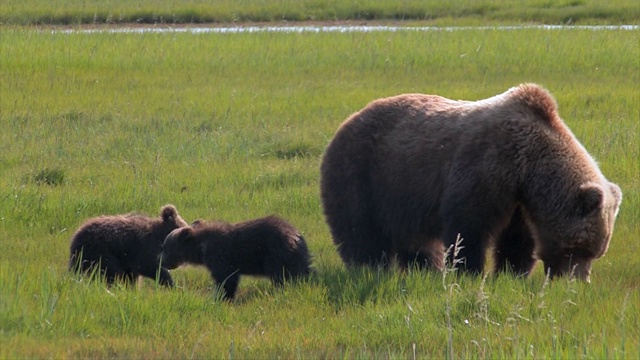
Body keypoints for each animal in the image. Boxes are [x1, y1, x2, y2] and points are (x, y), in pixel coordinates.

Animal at [159, 215, 312, 300]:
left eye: (166, 247)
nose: (161, 261)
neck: (201, 249)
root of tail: (296, 236)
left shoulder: (220, 256)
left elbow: (226, 278)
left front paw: (222, 298)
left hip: (276, 253)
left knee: (281, 275)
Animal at [322, 83, 624, 282]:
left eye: (597, 252)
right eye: (579, 248)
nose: (577, 281)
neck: (529, 165)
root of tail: (346, 121)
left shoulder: (520, 198)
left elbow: (518, 238)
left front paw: (512, 273)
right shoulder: (487, 165)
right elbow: (468, 224)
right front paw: (468, 272)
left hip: (402, 192)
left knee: (417, 241)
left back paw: (426, 269)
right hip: (363, 173)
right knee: (360, 230)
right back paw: (368, 268)